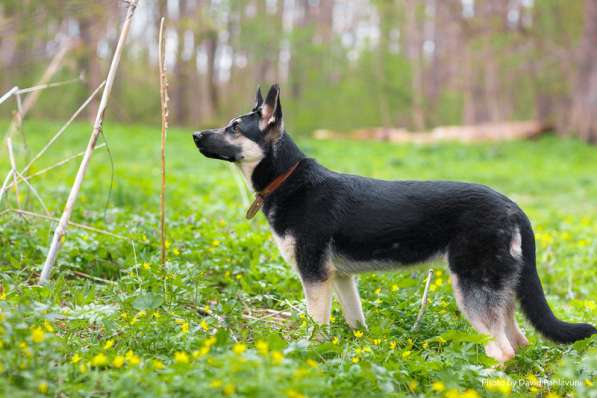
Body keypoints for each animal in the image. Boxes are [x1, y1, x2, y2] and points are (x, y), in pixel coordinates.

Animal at [193, 84, 592, 364]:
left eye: (234, 128)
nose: (196, 135)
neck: (287, 178)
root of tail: (512, 207)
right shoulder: (340, 278)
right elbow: (356, 324)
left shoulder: (315, 278)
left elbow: (316, 327)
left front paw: (311, 357)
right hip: (499, 289)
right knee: (518, 342)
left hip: (471, 289)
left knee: (503, 350)